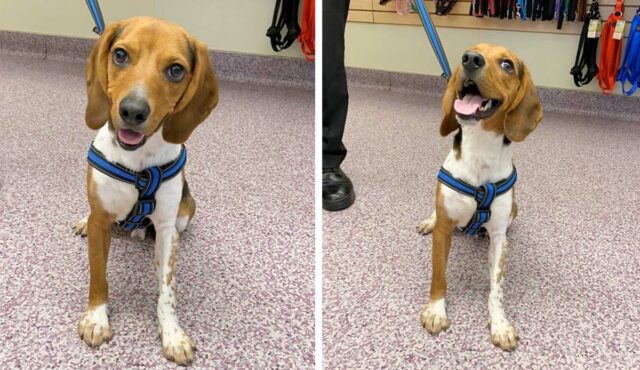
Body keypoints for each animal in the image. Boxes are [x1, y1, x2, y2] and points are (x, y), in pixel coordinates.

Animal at [73, 16, 220, 364]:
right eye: (120, 55)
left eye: (176, 70)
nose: (132, 111)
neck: (138, 163)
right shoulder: (101, 222)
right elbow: (98, 275)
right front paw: (96, 318)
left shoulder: (166, 229)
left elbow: (167, 291)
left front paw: (173, 334)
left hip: (186, 211)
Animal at [418, 43, 544, 350]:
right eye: (470, 51)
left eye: (507, 65)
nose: (470, 60)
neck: (480, 151)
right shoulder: (443, 232)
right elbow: (438, 276)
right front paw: (436, 310)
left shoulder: (500, 240)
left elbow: (496, 289)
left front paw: (500, 324)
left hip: (514, 210)